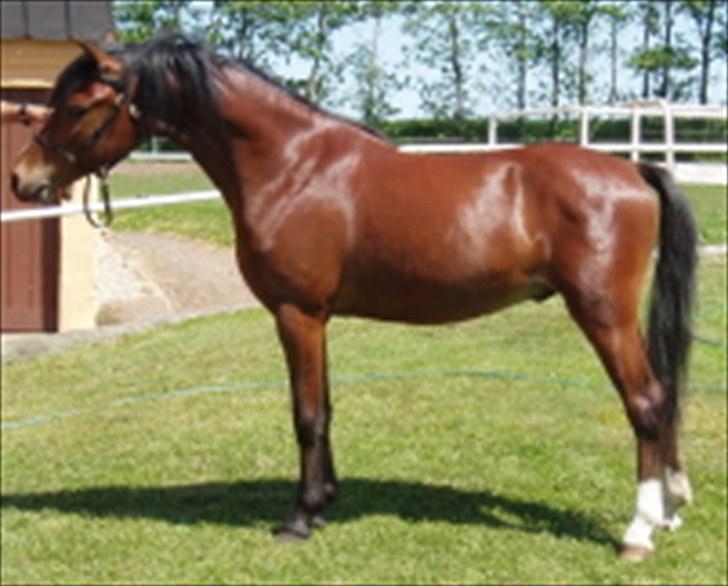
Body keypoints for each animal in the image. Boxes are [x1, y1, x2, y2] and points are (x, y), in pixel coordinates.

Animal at [10, 34, 697, 561]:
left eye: (80, 103)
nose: (22, 180)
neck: (292, 166)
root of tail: (632, 169)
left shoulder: (298, 315)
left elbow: (307, 415)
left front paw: (299, 517)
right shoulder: (319, 319)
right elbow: (327, 408)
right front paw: (325, 504)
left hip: (603, 314)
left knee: (645, 401)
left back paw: (639, 530)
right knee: (661, 397)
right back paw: (669, 510)